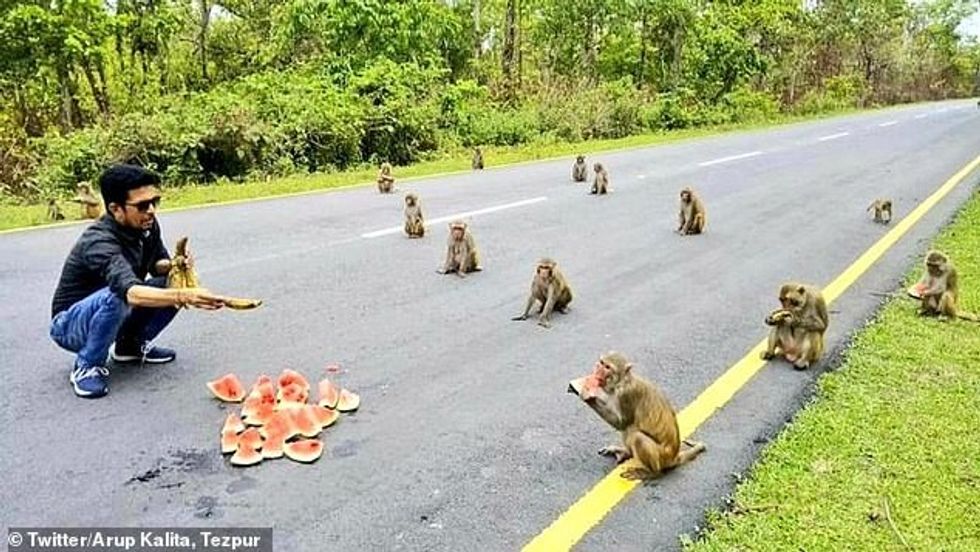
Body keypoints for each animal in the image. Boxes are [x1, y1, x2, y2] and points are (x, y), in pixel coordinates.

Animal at [570, 351, 706, 481]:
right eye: (601, 362)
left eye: (607, 367)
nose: (598, 369)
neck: (621, 382)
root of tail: (674, 457)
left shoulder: (627, 394)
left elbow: (622, 423)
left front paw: (586, 394)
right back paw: (625, 452)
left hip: (662, 457)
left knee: (636, 434)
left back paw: (652, 473)